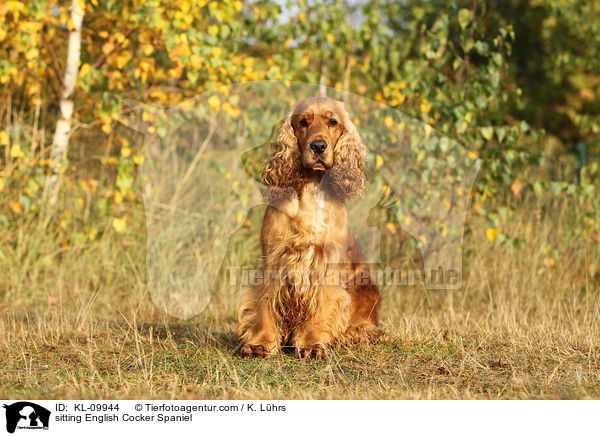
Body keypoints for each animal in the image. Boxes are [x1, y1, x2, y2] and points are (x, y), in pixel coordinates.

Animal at [236, 97, 380, 360]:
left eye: (333, 121)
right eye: (303, 122)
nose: (319, 146)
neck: (312, 187)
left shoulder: (326, 265)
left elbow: (321, 307)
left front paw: (313, 344)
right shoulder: (275, 259)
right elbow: (264, 304)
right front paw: (261, 343)